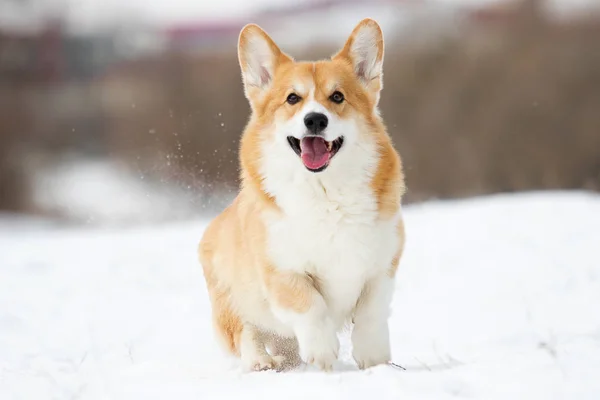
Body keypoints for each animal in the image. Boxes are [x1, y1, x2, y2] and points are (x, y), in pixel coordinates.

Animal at [199, 18, 406, 372]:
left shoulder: (382, 265)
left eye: (337, 96)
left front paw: (375, 359)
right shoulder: (283, 270)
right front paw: (322, 351)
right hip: (230, 298)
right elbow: (310, 305)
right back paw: (262, 361)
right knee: (247, 331)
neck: (325, 192)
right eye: (292, 99)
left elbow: (371, 311)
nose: (315, 119)